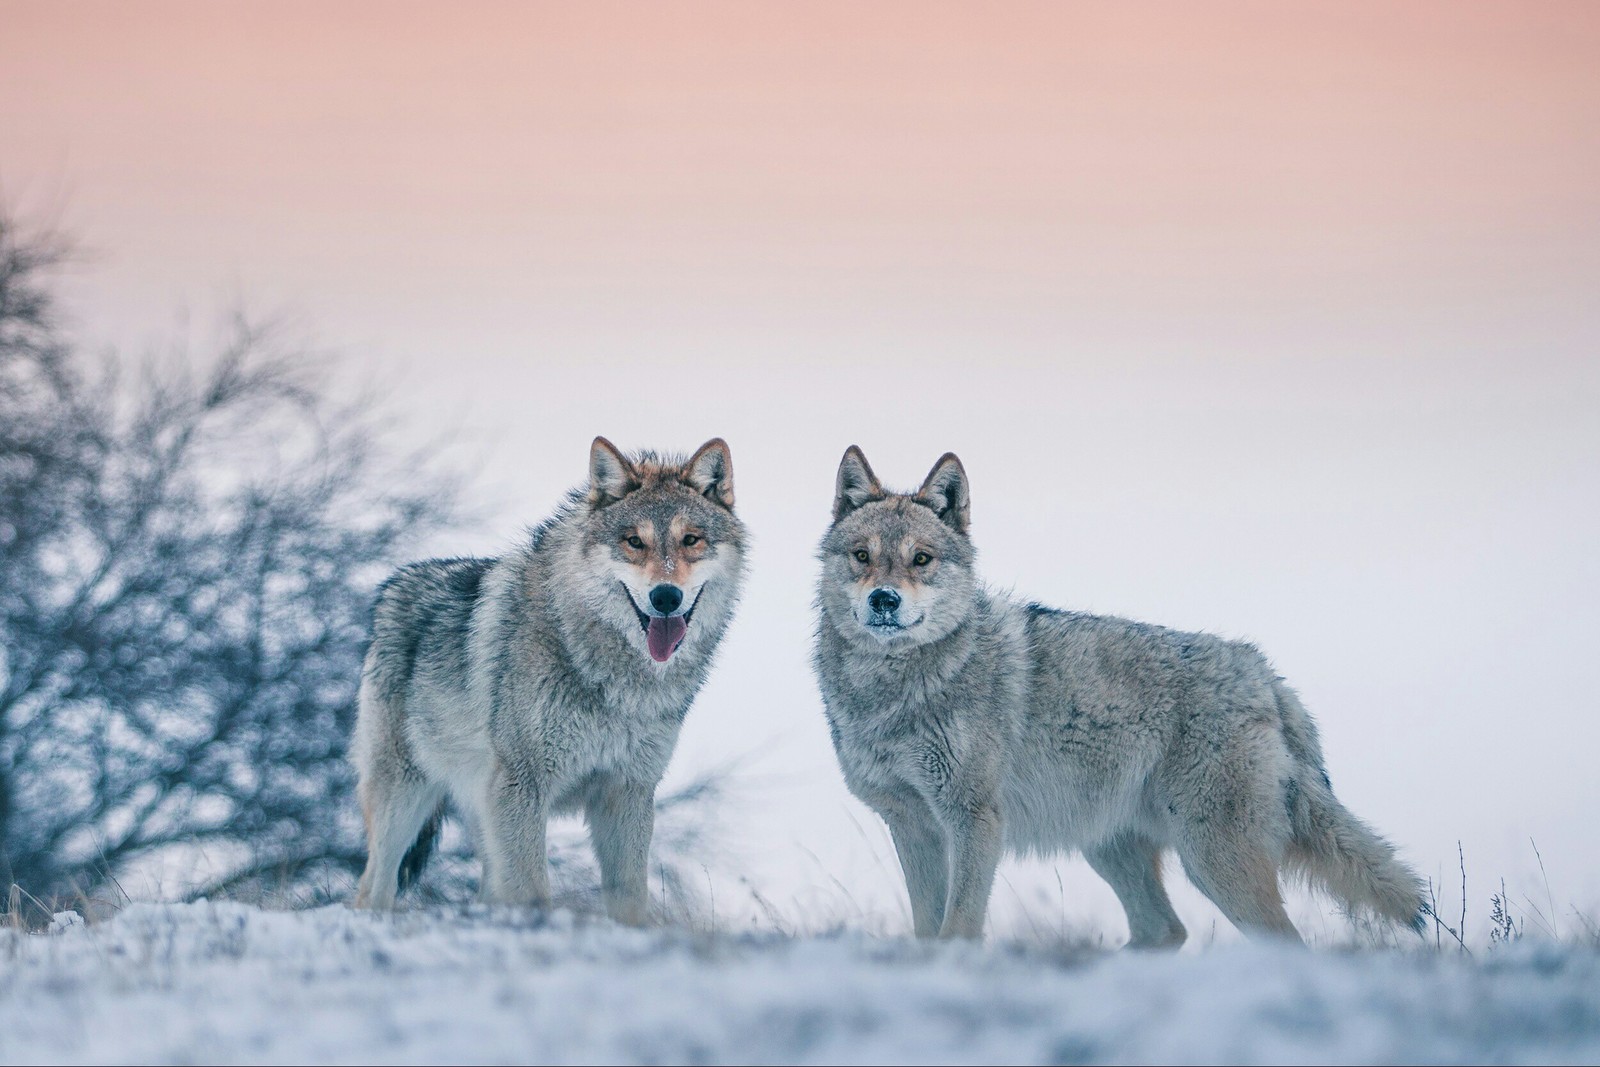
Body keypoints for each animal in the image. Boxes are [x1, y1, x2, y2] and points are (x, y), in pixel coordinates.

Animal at [353, 438, 745, 921]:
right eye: (634, 542)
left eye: (691, 539)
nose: (666, 597)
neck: (615, 678)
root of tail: (394, 585)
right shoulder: (523, 785)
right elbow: (534, 893)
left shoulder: (628, 792)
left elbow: (629, 897)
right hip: (405, 799)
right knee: (372, 888)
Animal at [819, 447, 1420, 947]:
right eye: (862, 555)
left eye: (920, 559)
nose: (884, 600)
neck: (892, 691)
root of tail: (1266, 675)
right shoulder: (911, 825)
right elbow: (926, 927)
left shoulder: (973, 820)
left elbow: (958, 927)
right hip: (1113, 850)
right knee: (1166, 930)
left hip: (1213, 862)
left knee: (1280, 941)